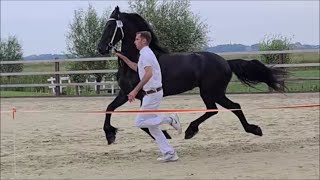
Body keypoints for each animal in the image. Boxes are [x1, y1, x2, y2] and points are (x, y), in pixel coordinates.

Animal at [96, 6, 286, 145]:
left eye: (110, 26)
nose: (101, 48)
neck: (136, 60)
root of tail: (226, 62)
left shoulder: (143, 96)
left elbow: (145, 124)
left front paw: (165, 133)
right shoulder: (125, 93)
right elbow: (109, 108)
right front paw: (110, 134)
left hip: (211, 92)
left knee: (225, 107)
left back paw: (193, 130)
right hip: (212, 93)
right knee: (224, 108)